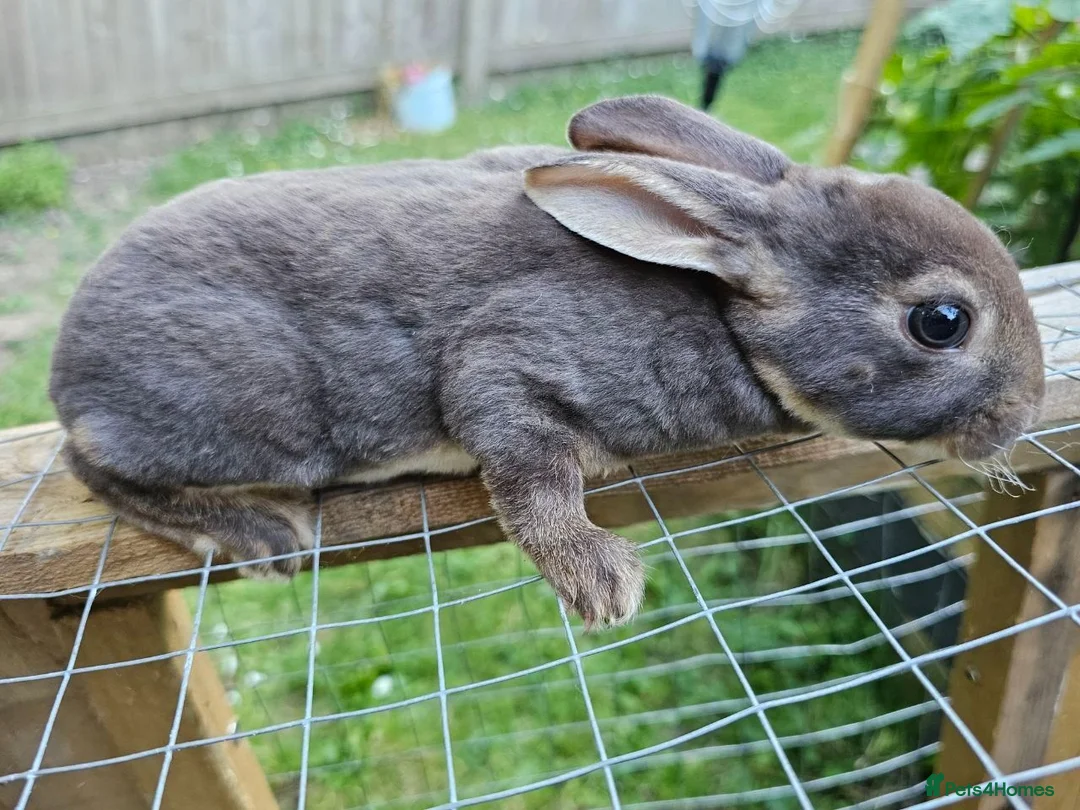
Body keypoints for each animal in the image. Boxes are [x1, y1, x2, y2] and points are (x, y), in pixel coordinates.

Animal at [49, 95, 1044, 629]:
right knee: (91, 462)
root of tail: (68, 365)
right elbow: (531, 477)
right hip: (259, 415)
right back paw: (260, 534)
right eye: (942, 322)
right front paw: (602, 584)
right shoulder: (511, 363)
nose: (1023, 412)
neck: (723, 310)